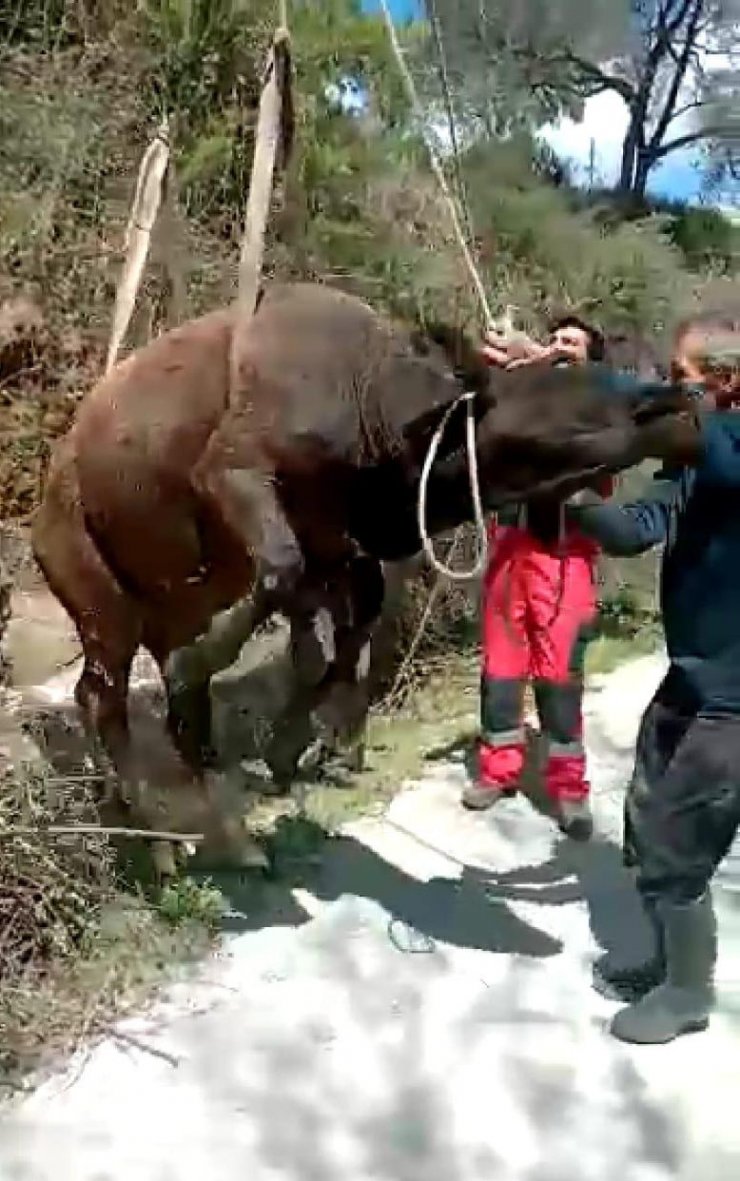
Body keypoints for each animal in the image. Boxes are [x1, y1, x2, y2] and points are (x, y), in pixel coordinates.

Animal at [33, 278, 693, 793]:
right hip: (95, 591)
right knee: (99, 692)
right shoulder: (232, 469)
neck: (377, 417)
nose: (673, 399)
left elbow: (349, 630)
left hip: (171, 599)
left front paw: (290, 747)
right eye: (561, 373)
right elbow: (284, 574)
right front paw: (205, 675)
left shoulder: (338, 539)